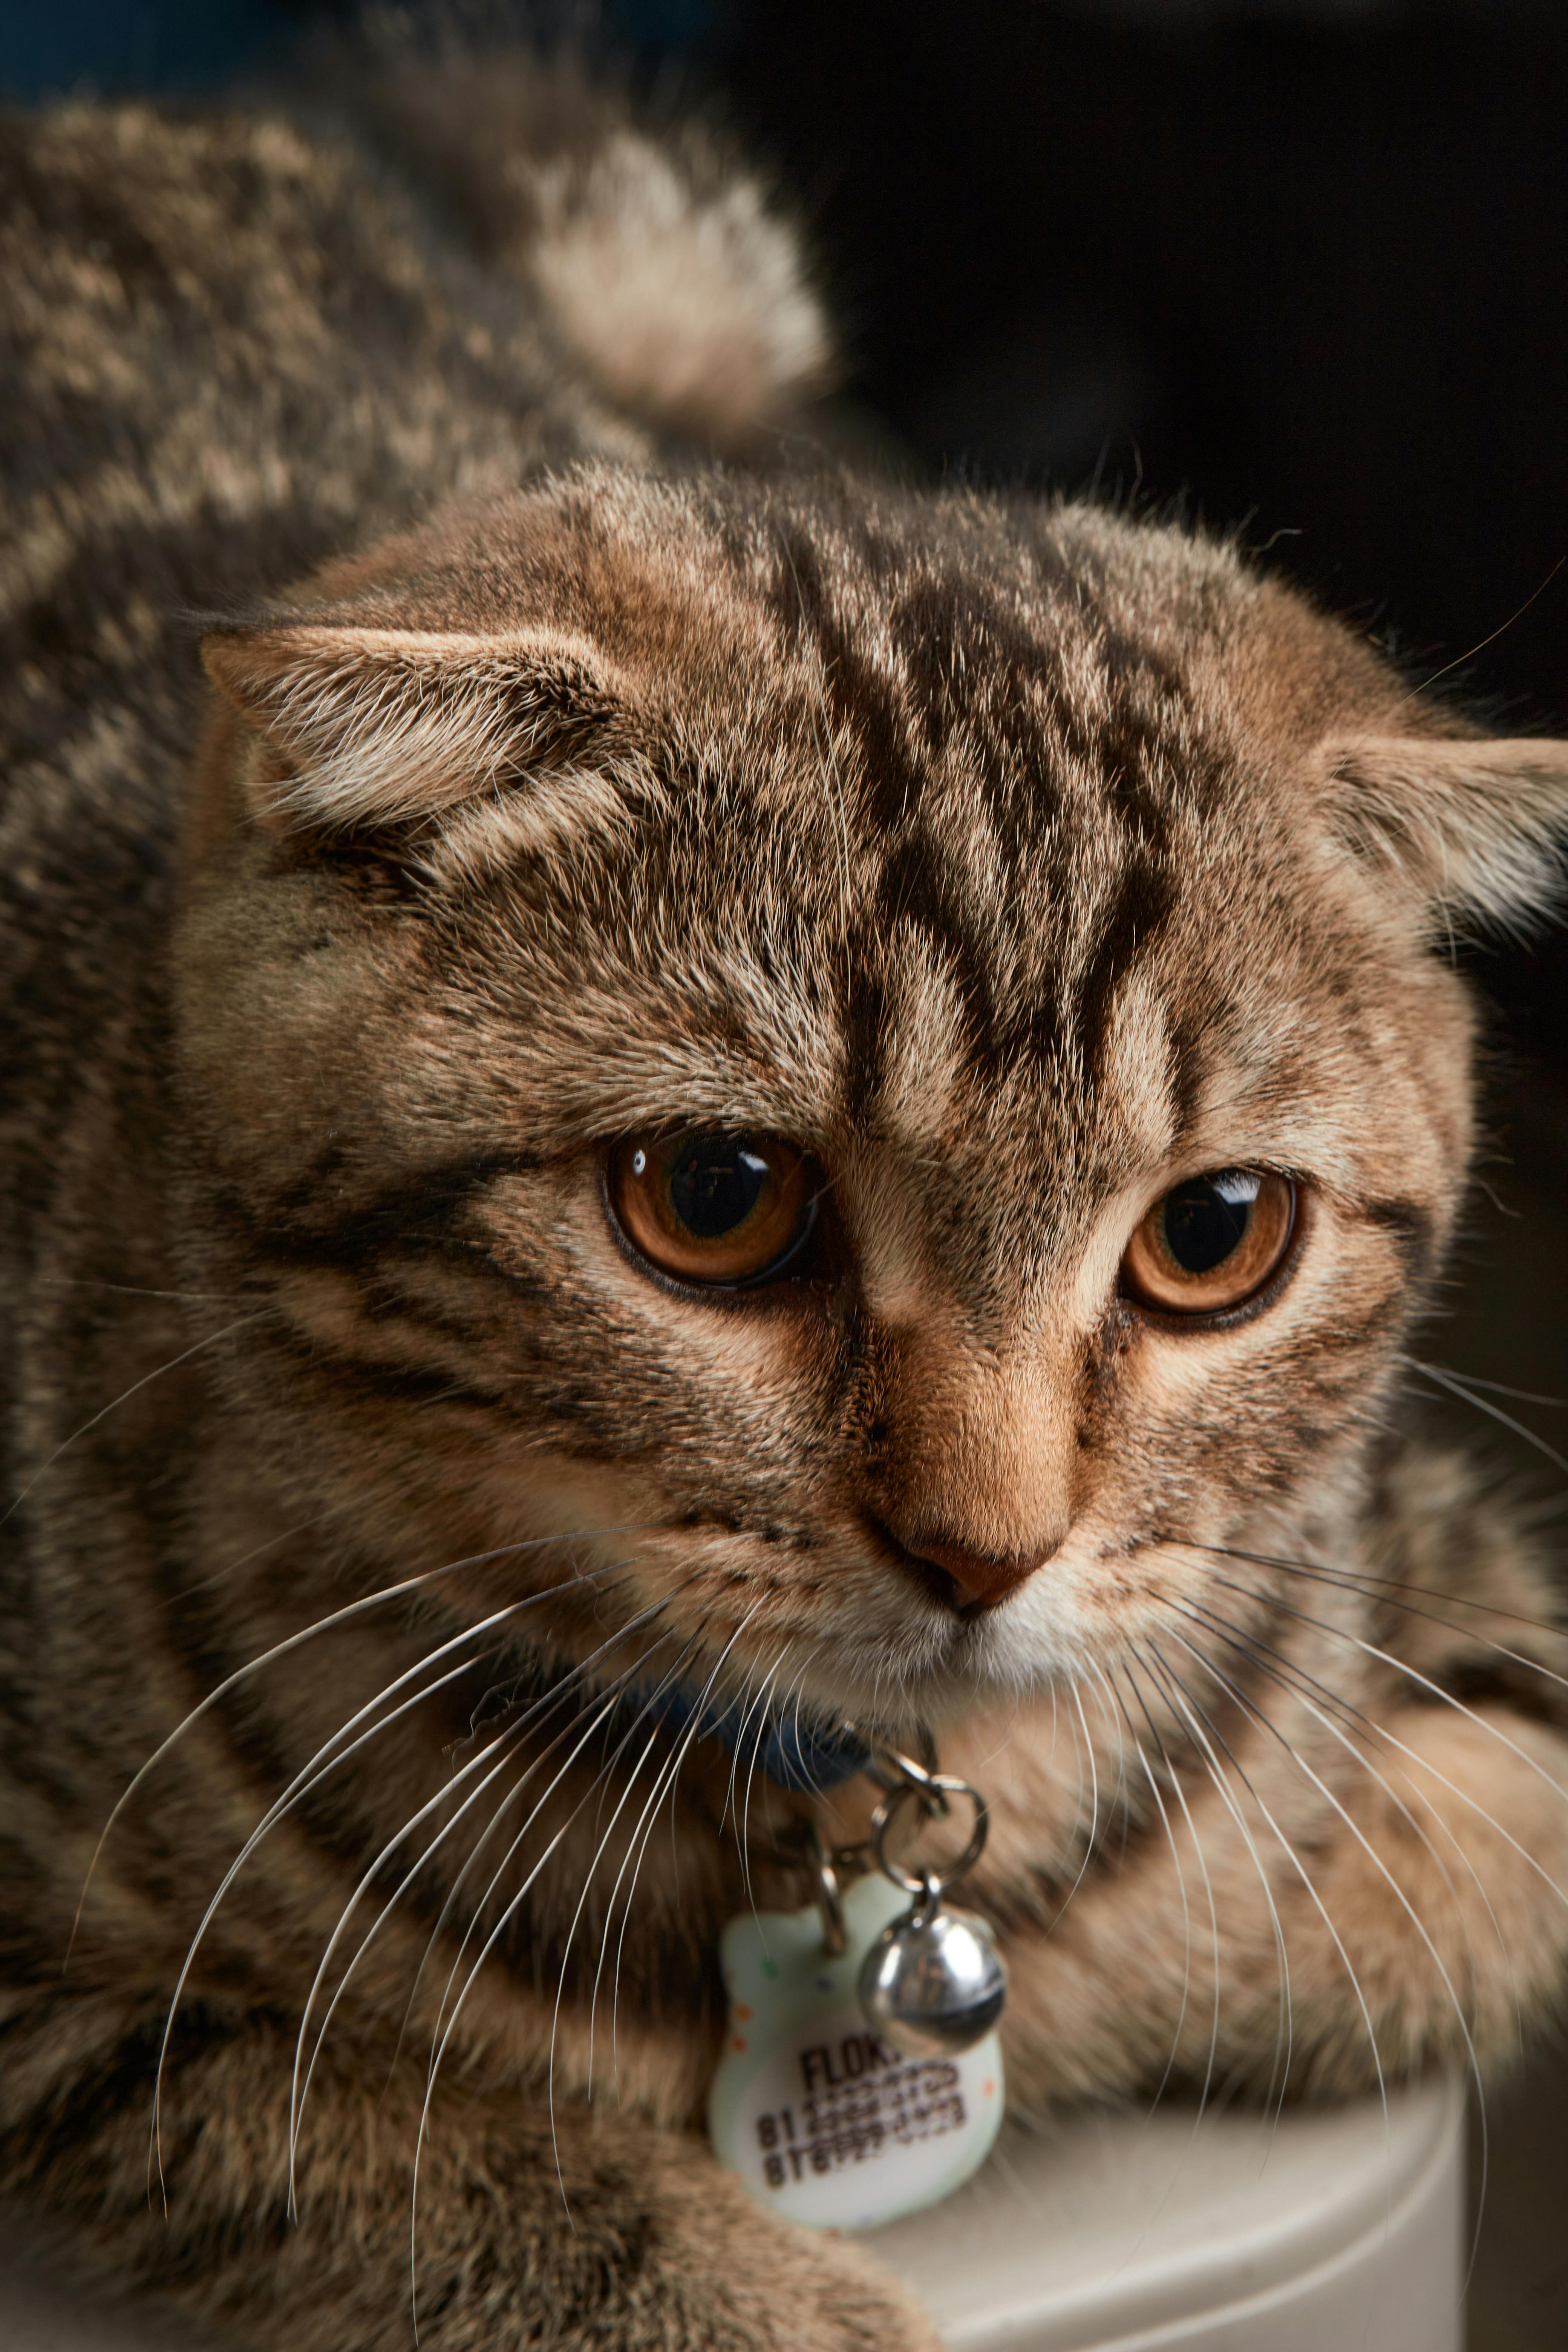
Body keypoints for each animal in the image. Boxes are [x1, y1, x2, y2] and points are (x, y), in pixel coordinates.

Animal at [9, 18, 1568, 2352]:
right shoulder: (61, 1973)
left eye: (1213, 1238)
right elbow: (335, 2113)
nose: (983, 1550)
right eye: (717, 1199)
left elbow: (1416, 1865)